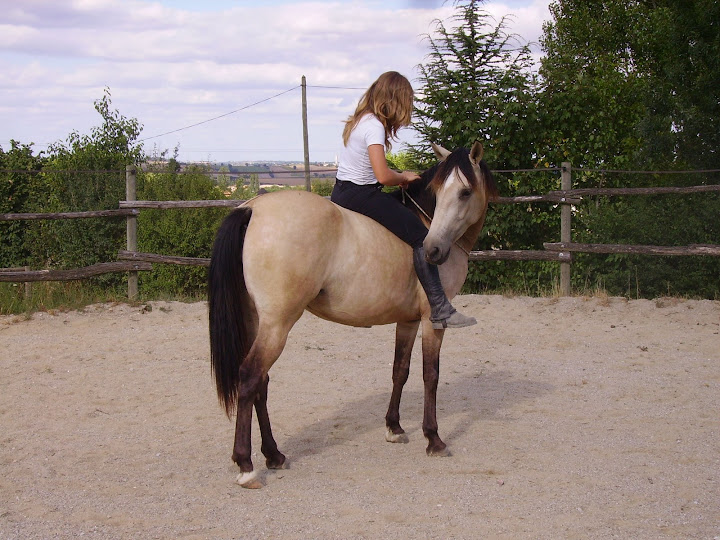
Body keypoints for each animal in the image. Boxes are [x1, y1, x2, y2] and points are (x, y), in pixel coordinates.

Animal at [207, 141, 496, 488]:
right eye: (440, 191)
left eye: (464, 192)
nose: (432, 251)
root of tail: (252, 209)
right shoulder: (432, 320)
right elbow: (431, 376)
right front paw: (434, 439)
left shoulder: (408, 320)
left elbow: (400, 370)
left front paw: (394, 428)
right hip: (277, 324)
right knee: (250, 377)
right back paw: (246, 465)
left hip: (258, 321)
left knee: (260, 382)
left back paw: (273, 455)